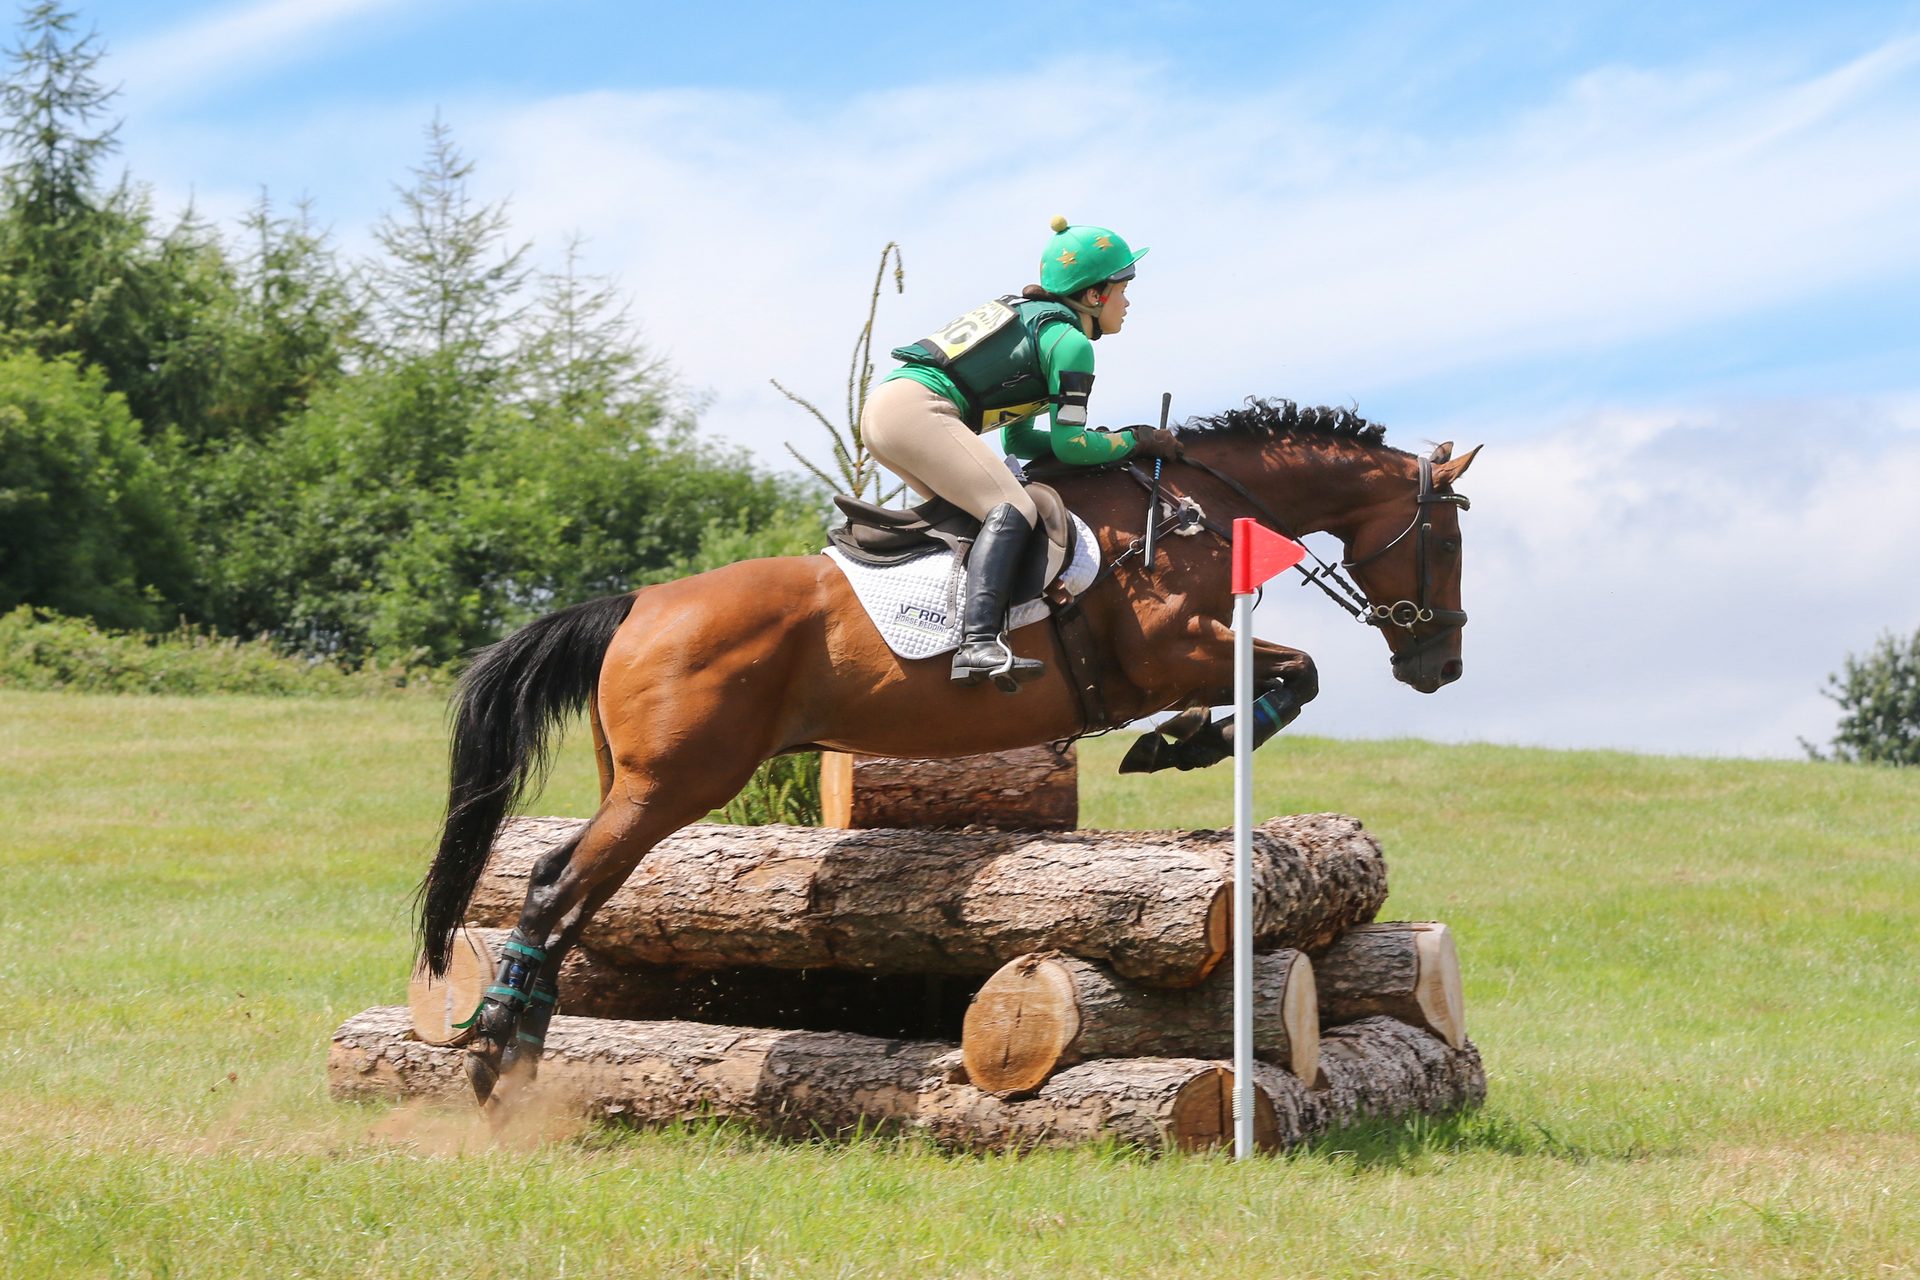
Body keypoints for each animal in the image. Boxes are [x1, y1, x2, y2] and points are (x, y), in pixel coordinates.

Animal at [416, 398, 1481, 1110]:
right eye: (1451, 541)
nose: (1443, 665)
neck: (1194, 509)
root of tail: (637, 603)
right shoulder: (1171, 651)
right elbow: (1297, 673)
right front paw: (1187, 744)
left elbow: (1288, 677)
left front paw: (1182, 741)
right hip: (672, 785)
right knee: (556, 885)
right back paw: (494, 1054)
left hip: (640, 787)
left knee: (573, 893)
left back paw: (522, 1042)